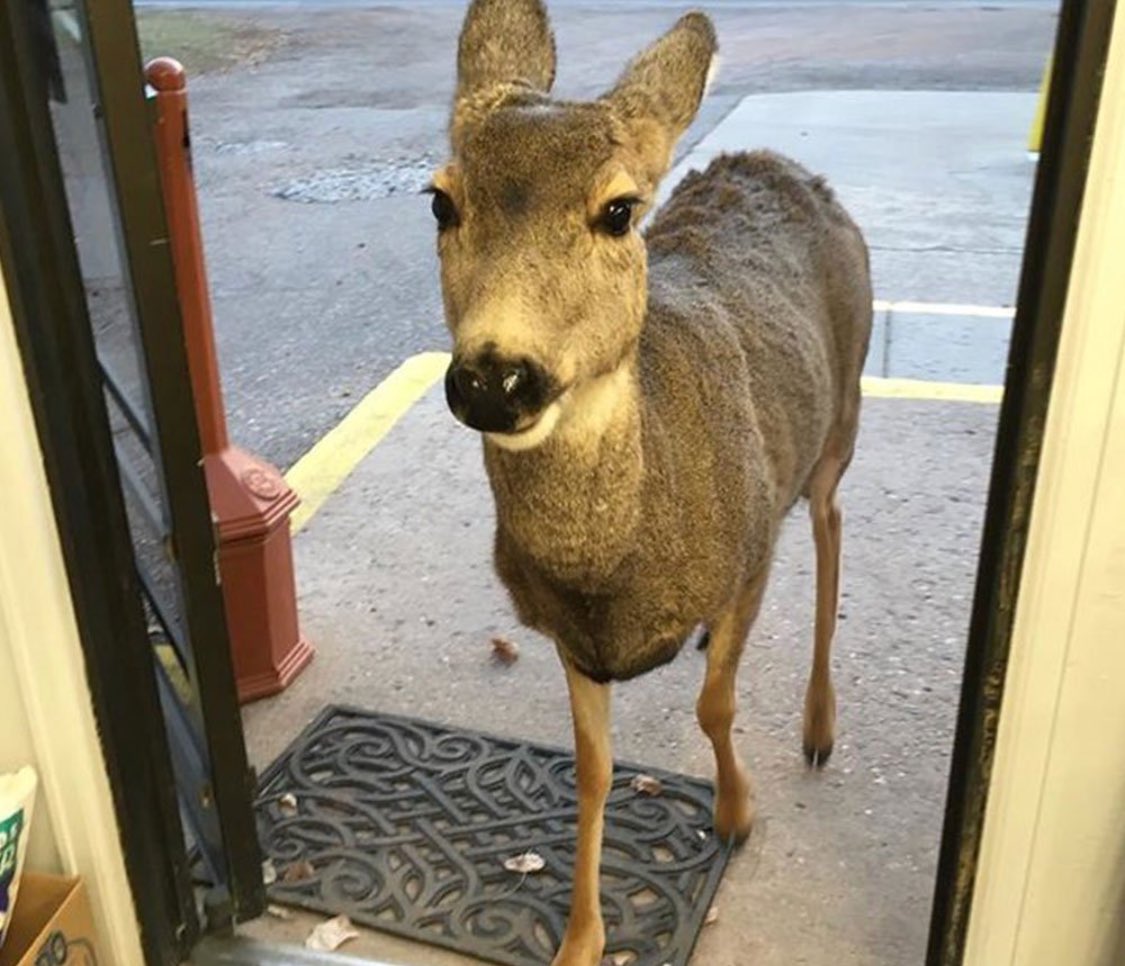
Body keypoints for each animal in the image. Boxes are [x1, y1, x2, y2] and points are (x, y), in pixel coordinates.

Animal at [428, 2, 872, 963]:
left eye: (618, 210)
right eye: (440, 199)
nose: (493, 378)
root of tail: (777, 161)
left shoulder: (747, 554)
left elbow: (715, 707)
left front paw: (737, 812)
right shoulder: (567, 635)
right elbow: (593, 770)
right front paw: (579, 938)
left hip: (843, 412)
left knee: (828, 523)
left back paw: (819, 726)